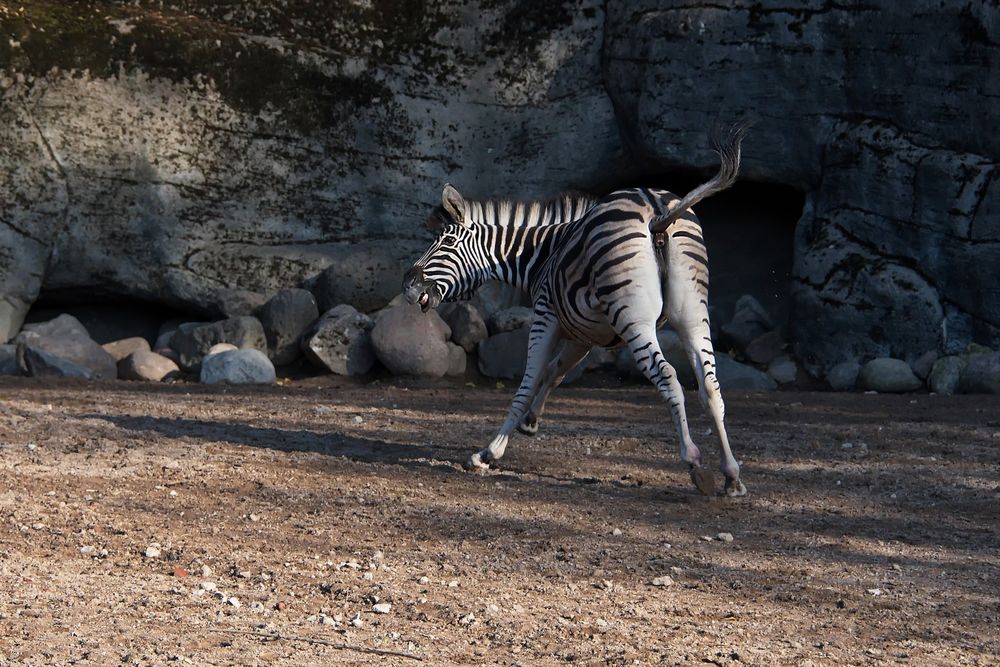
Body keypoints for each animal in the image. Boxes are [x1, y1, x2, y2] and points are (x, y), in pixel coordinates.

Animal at [402, 124, 748, 496]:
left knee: (669, 376)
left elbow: (528, 381)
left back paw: (694, 462)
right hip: (692, 312)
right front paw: (530, 423)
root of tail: (656, 210)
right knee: (710, 386)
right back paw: (731, 474)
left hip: (634, 319)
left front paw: (488, 453)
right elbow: (555, 371)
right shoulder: (586, 335)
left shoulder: (545, 315)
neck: (541, 254)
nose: (408, 284)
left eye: (447, 243)